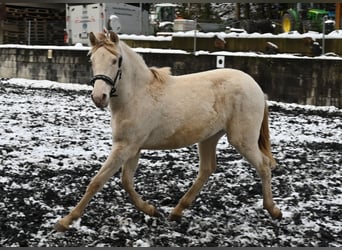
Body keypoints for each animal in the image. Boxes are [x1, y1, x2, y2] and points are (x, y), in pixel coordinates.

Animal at [54, 31, 282, 232]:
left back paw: (273, 210)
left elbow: (97, 181)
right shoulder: (133, 148)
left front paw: (65, 221)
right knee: (207, 169)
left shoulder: (125, 147)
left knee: (263, 166)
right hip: (209, 137)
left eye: (116, 60)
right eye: (92, 59)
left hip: (242, 139)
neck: (136, 96)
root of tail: (256, 87)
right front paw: (151, 210)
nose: (99, 97)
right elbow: (126, 181)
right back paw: (177, 211)